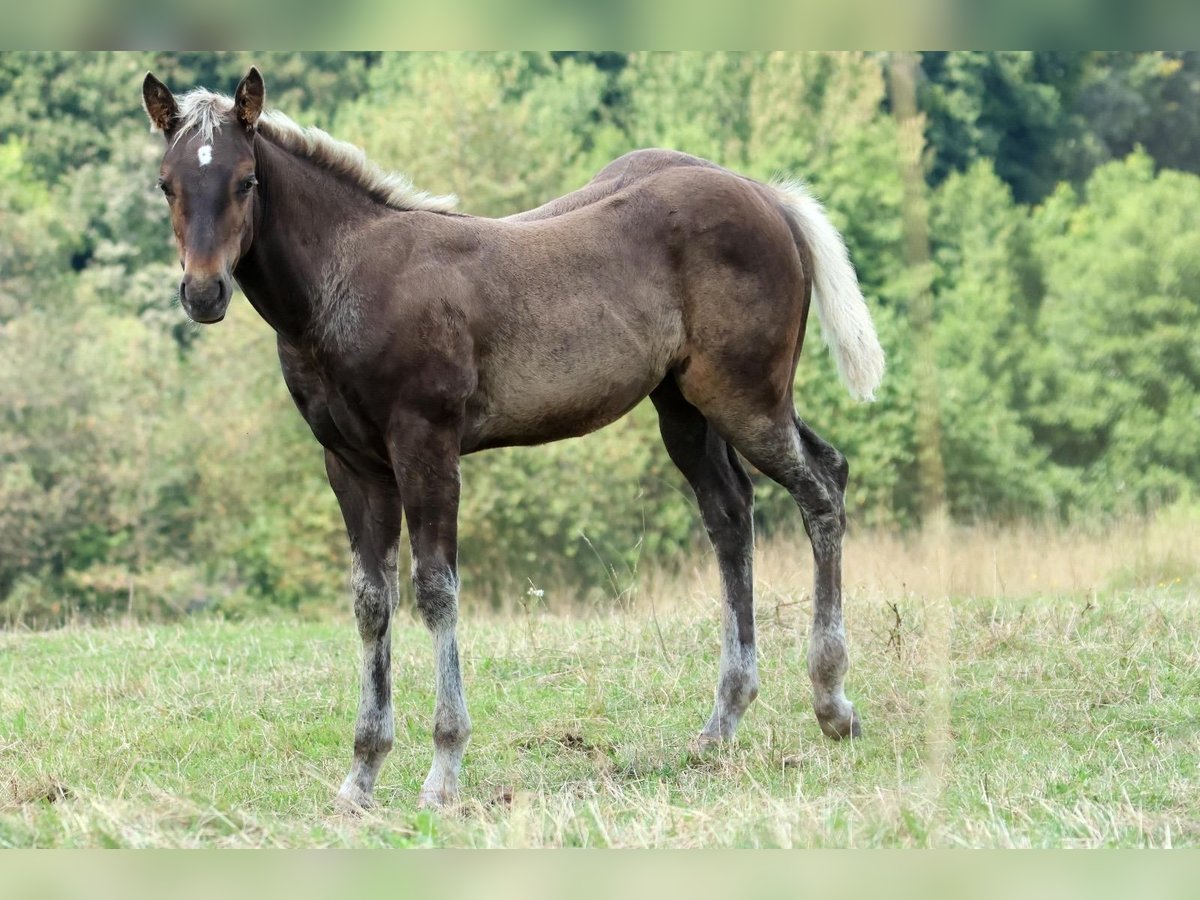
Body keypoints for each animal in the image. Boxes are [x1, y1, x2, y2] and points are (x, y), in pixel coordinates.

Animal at [145, 63, 888, 811]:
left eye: (245, 180)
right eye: (167, 184)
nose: (203, 293)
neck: (349, 280)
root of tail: (768, 197)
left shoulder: (426, 447)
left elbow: (435, 591)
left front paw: (443, 770)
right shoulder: (351, 465)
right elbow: (371, 603)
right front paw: (361, 776)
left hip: (746, 397)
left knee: (821, 486)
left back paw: (833, 703)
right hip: (685, 408)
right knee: (733, 514)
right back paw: (722, 720)